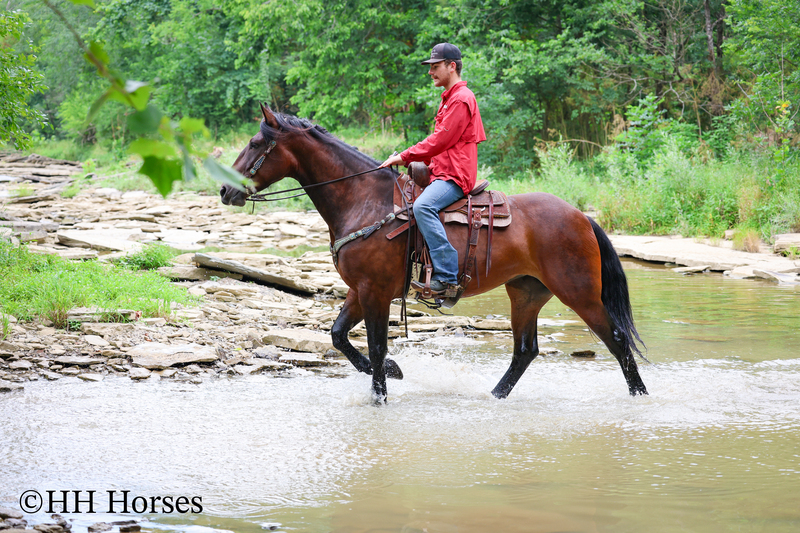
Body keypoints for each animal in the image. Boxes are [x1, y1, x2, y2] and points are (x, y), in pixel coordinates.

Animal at [221, 104, 648, 402]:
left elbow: (375, 346)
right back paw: (494, 396)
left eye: (256, 144)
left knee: (616, 339)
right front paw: (393, 372)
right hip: (526, 293)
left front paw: (380, 394)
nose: (225, 190)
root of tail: (581, 216)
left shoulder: (375, 291)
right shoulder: (359, 290)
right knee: (525, 351)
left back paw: (640, 396)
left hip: (578, 292)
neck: (364, 199)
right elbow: (339, 337)